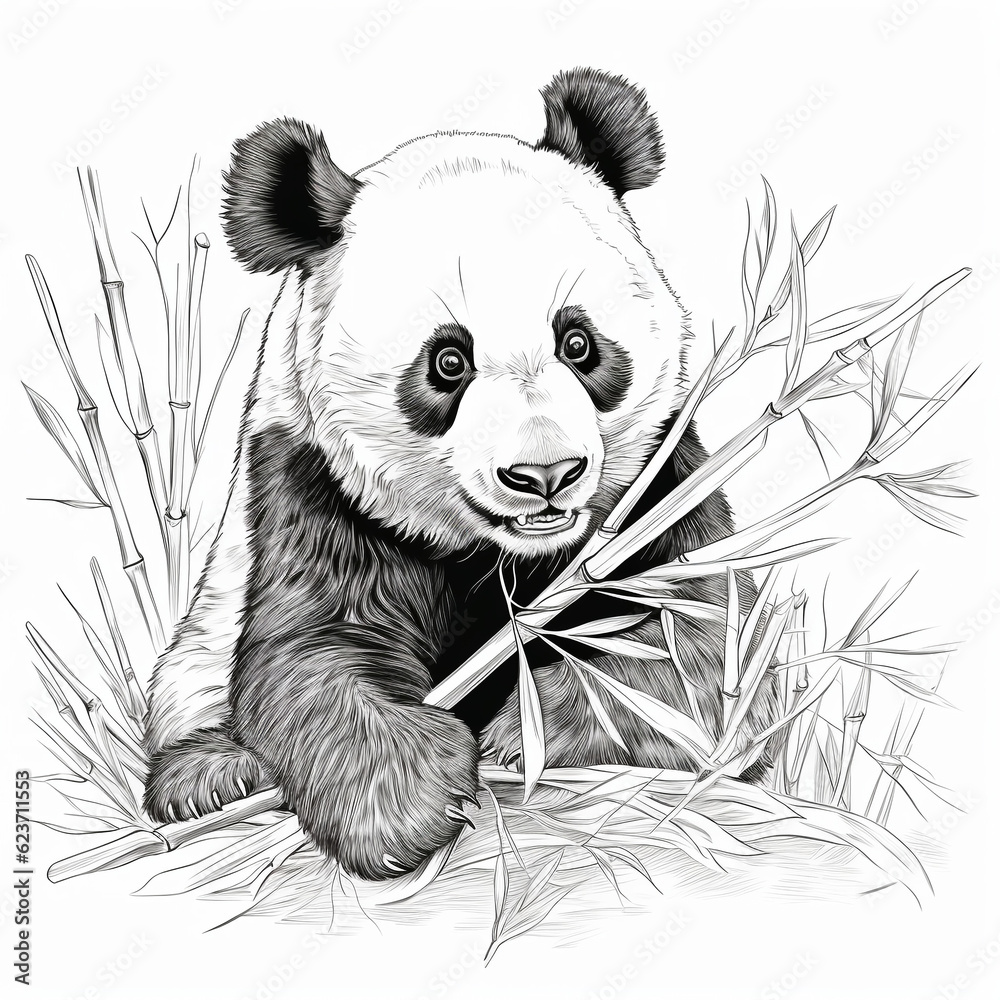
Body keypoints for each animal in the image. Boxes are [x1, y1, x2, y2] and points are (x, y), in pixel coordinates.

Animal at [143, 67, 780, 881]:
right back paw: (212, 775)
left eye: (578, 343)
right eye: (448, 361)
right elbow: (312, 653)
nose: (545, 473)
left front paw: (520, 733)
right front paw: (407, 801)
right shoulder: (309, 486)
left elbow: (702, 642)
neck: (508, 557)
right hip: (198, 647)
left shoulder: (661, 486)